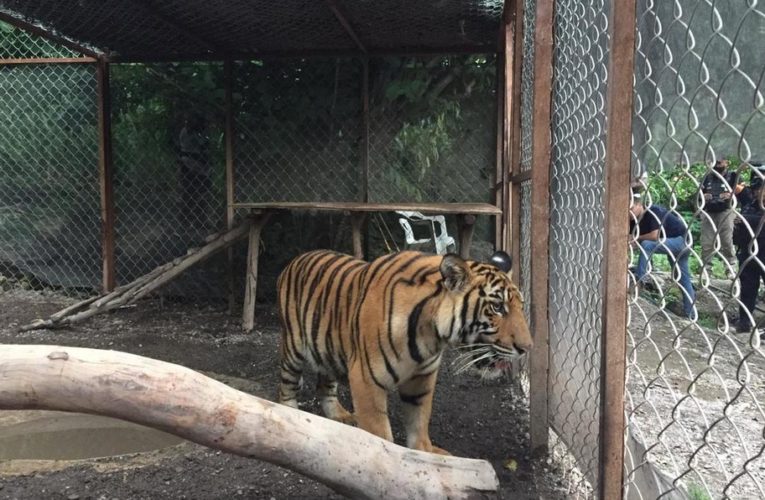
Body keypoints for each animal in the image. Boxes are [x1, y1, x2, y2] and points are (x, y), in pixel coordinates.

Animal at [274, 248, 532, 456]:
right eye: (497, 307)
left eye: (521, 306)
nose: (527, 348)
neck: (431, 335)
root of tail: (295, 259)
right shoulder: (366, 379)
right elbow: (379, 433)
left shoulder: (422, 379)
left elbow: (419, 421)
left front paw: (425, 454)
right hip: (294, 347)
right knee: (286, 384)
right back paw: (290, 412)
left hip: (327, 349)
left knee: (325, 385)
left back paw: (339, 414)